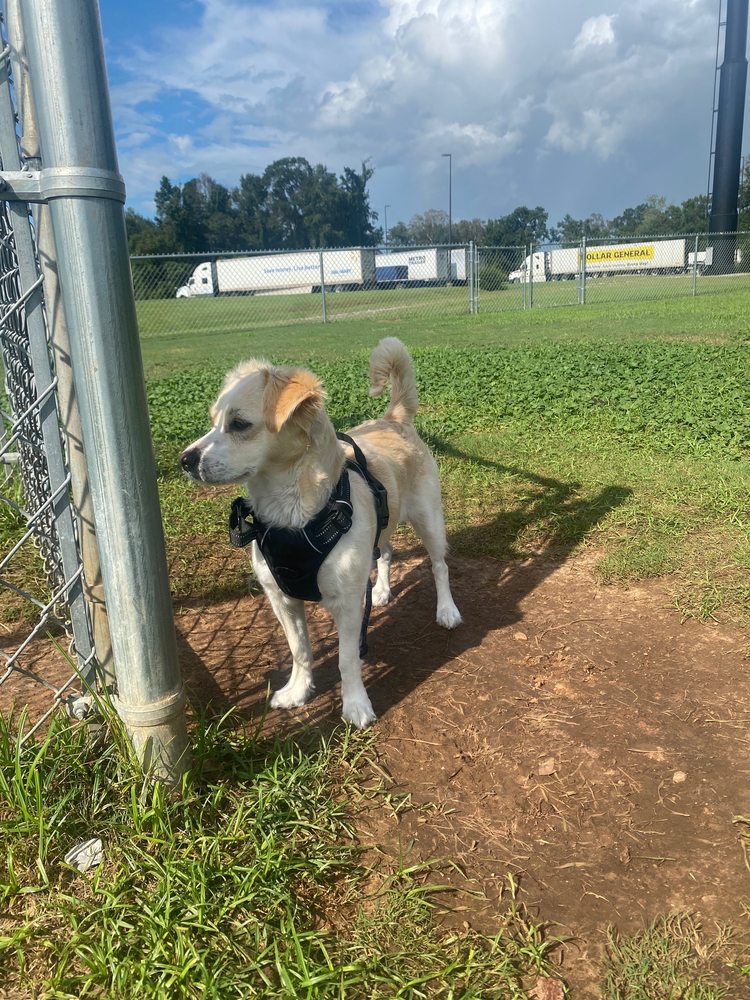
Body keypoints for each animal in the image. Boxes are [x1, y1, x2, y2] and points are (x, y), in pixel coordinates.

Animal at [180, 337, 461, 728]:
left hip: (429, 520)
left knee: (439, 566)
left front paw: (356, 705)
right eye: (212, 422)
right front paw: (298, 691)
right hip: (385, 526)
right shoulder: (281, 598)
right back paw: (383, 590)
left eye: (238, 424)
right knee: (387, 551)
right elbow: (300, 649)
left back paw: (447, 610)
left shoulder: (348, 603)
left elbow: (346, 659)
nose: (184, 460)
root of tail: (393, 419)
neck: (291, 519)